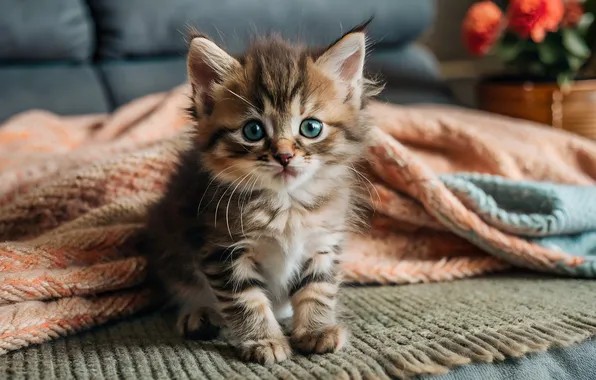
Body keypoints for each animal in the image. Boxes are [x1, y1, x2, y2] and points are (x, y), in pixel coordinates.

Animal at [143, 21, 380, 366]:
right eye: (253, 131)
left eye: (311, 127)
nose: (284, 156)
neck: (286, 204)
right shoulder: (223, 249)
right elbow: (246, 299)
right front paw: (263, 339)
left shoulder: (323, 241)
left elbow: (317, 288)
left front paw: (315, 330)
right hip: (168, 244)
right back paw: (199, 313)